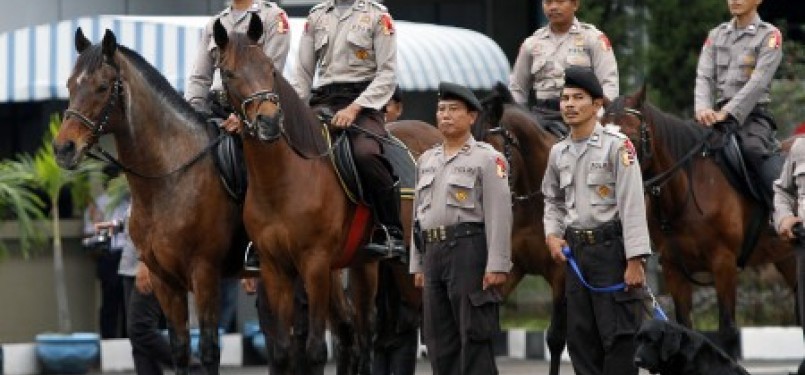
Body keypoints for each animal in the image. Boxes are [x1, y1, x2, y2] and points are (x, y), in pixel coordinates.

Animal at [52, 27, 245, 374]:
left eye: (102, 87)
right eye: (70, 85)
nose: (64, 149)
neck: (172, 176)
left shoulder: (205, 275)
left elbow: (209, 351)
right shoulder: (164, 280)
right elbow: (180, 349)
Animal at [214, 16, 436, 374]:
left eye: (270, 69)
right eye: (229, 73)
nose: (269, 122)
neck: (284, 181)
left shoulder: (315, 265)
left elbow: (315, 349)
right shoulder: (274, 269)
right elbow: (283, 350)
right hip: (364, 262)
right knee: (364, 331)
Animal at [600, 86, 796, 358]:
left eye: (629, 136)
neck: (684, 196)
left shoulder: (724, 264)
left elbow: (728, 332)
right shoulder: (673, 269)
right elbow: (684, 327)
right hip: (787, 258)